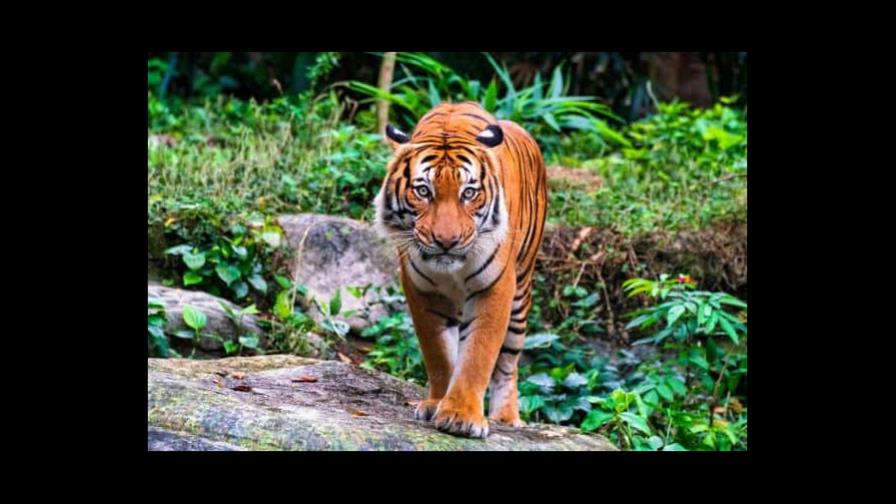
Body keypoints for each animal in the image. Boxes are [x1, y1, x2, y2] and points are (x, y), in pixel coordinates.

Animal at [374, 101, 547, 439]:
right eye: (423, 191)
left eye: (468, 193)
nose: (446, 241)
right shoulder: (422, 290)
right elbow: (439, 353)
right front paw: (437, 403)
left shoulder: (494, 288)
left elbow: (479, 354)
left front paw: (461, 416)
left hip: (521, 294)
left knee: (508, 362)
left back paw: (506, 417)